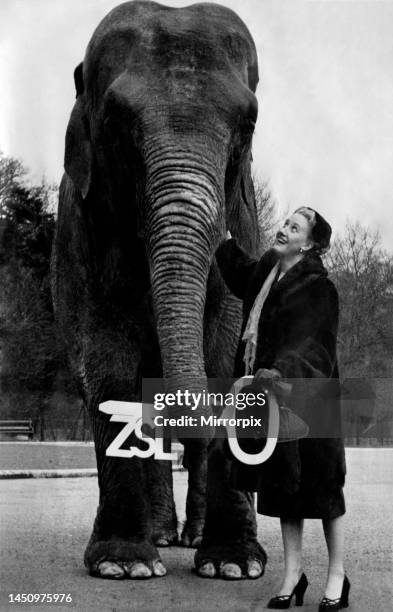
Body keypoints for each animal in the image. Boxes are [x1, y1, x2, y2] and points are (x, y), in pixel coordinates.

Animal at [52, 0, 266, 580]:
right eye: (116, 120)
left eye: (249, 123)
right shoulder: (81, 227)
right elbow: (105, 360)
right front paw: (123, 565)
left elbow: (225, 347)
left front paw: (234, 566)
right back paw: (161, 538)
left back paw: (191, 539)